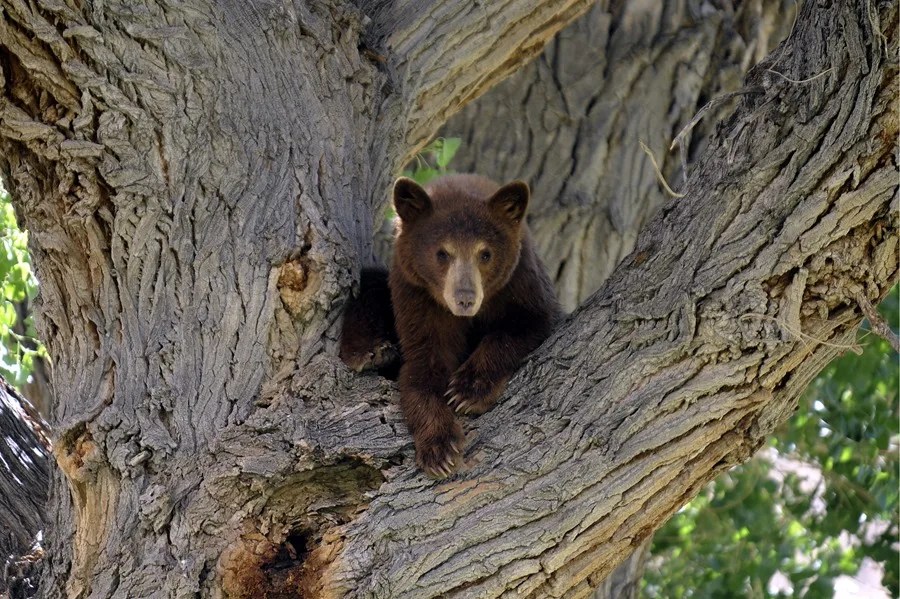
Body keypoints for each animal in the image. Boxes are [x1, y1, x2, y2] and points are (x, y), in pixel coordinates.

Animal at [340, 174, 561, 478]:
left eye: (485, 254)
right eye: (442, 253)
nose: (465, 299)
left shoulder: (522, 284)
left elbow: (528, 325)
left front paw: (468, 390)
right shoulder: (417, 298)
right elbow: (424, 366)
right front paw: (440, 449)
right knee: (371, 281)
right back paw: (370, 352)